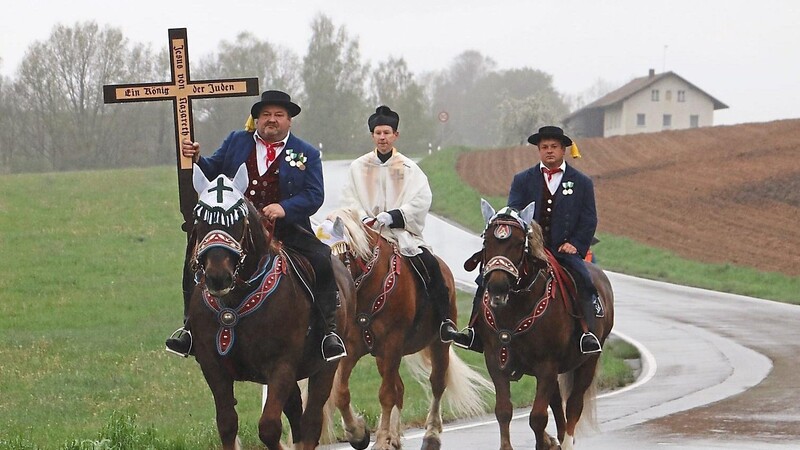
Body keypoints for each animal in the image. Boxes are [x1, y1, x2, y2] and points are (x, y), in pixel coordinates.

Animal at [188, 166, 356, 450]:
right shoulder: (213, 367)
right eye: (200, 219)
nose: (217, 277)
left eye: (239, 220)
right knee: (298, 417)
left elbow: (268, 427)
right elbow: (227, 424)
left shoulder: (281, 366)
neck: (235, 303)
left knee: (311, 421)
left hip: (325, 367)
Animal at [314, 209, 490, 450]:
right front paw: (358, 433)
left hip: (437, 344)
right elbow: (341, 392)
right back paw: (394, 436)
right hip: (383, 357)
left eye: (339, 257)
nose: (332, 304)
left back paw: (430, 435)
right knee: (400, 388)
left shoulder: (392, 344)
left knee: (436, 384)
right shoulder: (353, 348)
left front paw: (380, 440)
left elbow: (386, 395)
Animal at [472, 201, 616, 450]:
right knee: (557, 402)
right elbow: (504, 411)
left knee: (574, 404)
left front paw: (546, 442)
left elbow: (538, 417)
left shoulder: (546, 365)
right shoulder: (495, 361)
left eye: (519, 243)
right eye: (487, 241)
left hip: (588, 362)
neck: (516, 306)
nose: (497, 287)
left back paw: (566, 441)